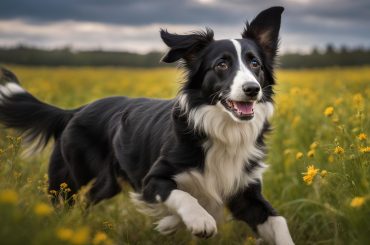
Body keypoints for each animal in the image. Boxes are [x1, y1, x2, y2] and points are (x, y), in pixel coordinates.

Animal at [0, 6, 294, 244]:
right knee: (61, 207)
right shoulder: (151, 180)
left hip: (104, 185)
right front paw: (199, 220)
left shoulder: (245, 191)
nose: (252, 89)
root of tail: (76, 111)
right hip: (69, 182)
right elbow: (183, 195)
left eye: (255, 63)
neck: (223, 131)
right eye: (222, 64)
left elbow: (279, 221)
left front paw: (170, 223)